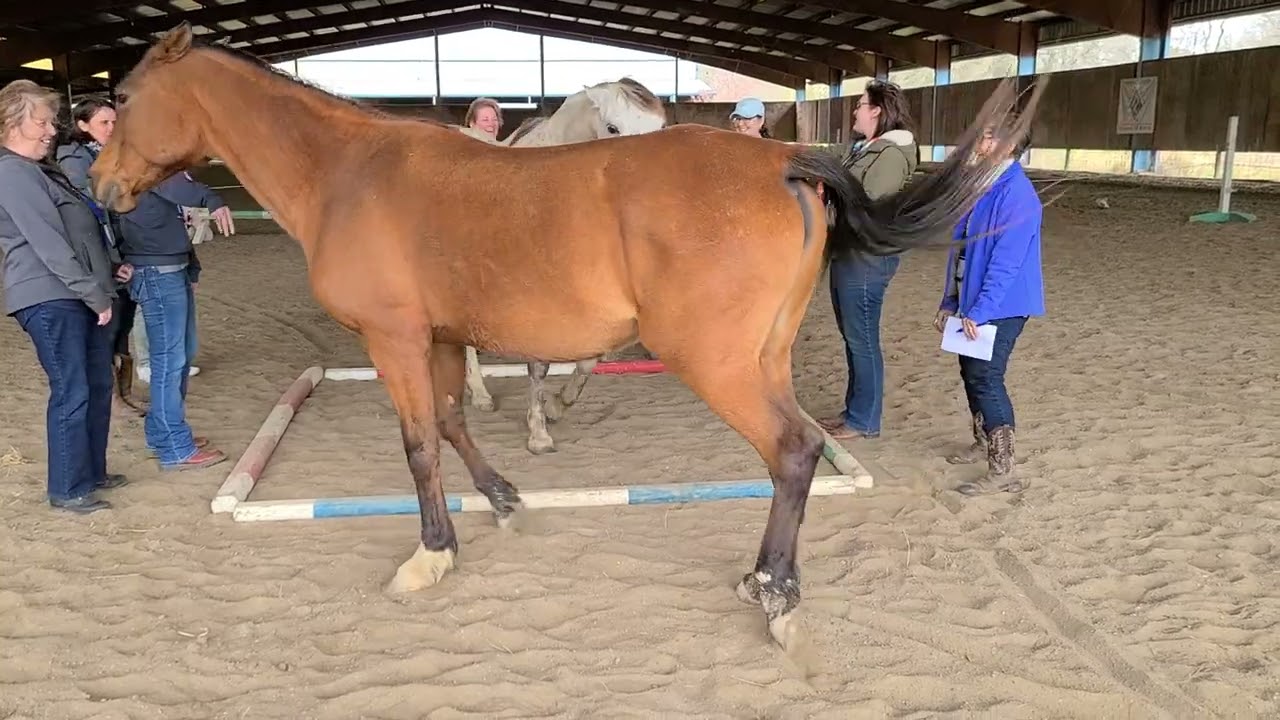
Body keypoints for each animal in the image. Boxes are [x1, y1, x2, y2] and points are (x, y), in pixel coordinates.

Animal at [452, 78, 669, 455]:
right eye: (613, 128)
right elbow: (538, 365)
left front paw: (556, 406)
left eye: (659, 130)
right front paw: (538, 433)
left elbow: (588, 360)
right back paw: (478, 394)